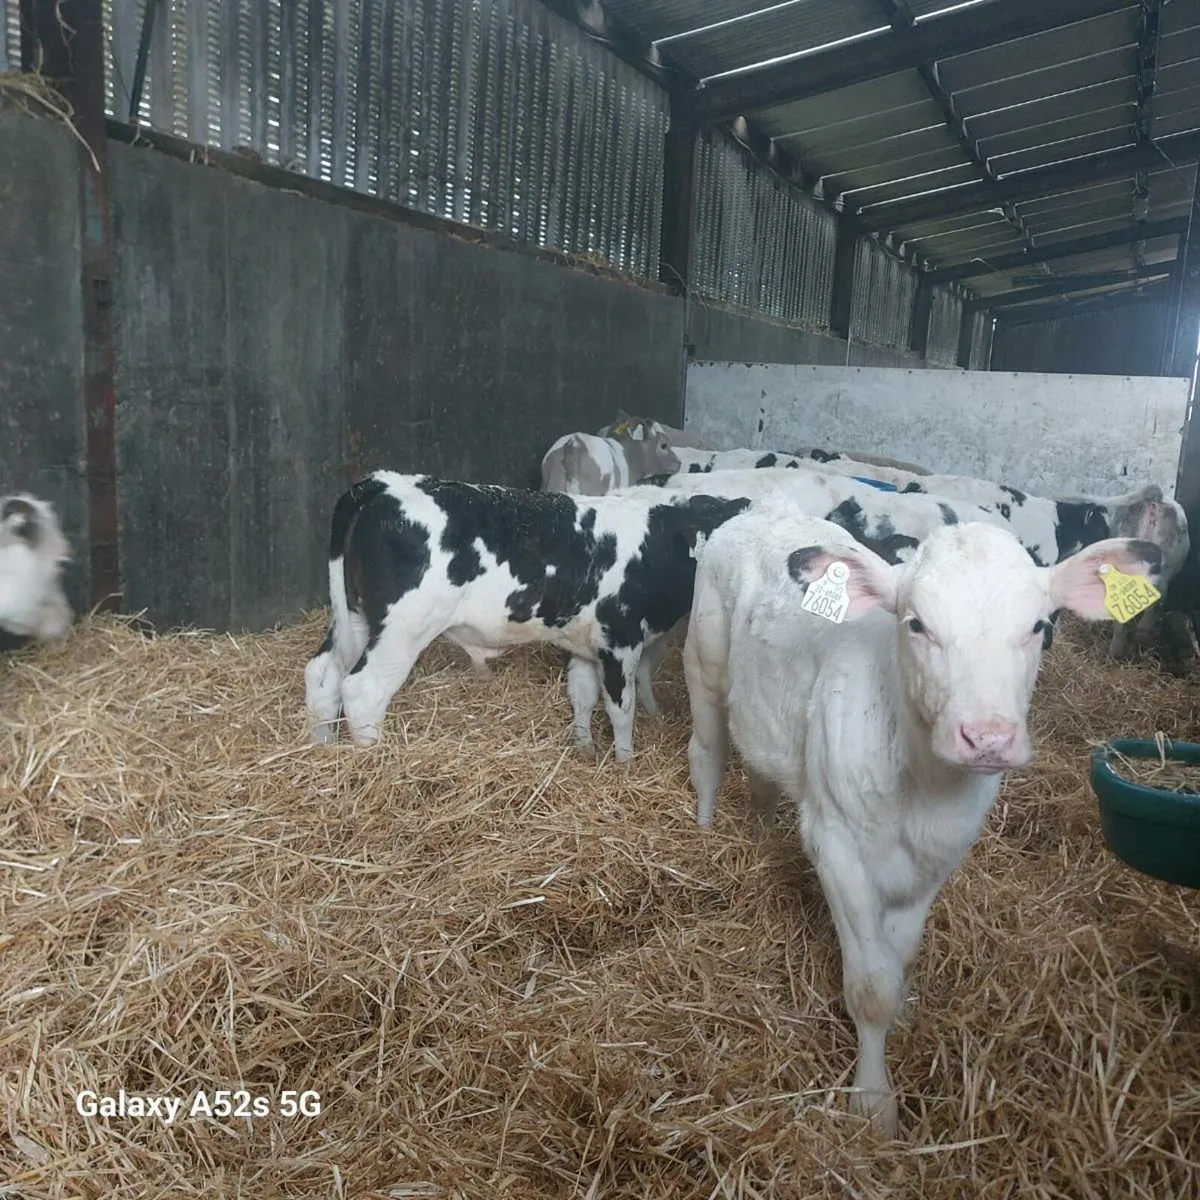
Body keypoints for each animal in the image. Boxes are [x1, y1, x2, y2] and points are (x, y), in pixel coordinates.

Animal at [303, 472, 750, 758]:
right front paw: (625, 763)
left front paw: (584, 748)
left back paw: (323, 746)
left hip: (355, 616)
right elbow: (621, 709)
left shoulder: (584, 641)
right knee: (362, 690)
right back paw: (373, 760)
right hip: (402, 628)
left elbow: (582, 695)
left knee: (323, 674)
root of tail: (383, 482)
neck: (656, 544)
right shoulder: (619, 638)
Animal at [682, 497, 1164, 1137]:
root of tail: (767, 507)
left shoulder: (940, 856)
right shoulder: (837, 844)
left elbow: (899, 956)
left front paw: (902, 1015)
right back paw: (706, 827)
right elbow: (870, 985)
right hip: (704, 660)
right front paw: (872, 1103)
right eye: (916, 625)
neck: (922, 789)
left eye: (1039, 627)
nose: (987, 737)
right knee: (708, 749)